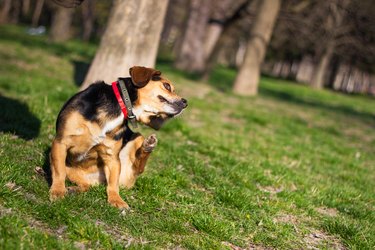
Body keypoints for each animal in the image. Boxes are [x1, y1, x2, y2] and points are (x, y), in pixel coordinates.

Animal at [49, 66, 188, 209]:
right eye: (167, 86)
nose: (185, 102)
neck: (119, 108)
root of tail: (98, 181)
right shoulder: (61, 142)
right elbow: (59, 172)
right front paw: (58, 191)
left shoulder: (112, 158)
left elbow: (113, 185)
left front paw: (116, 200)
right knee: (80, 182)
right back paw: (72, 189)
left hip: (136, 139)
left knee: (138, 168)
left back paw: (148, 146)